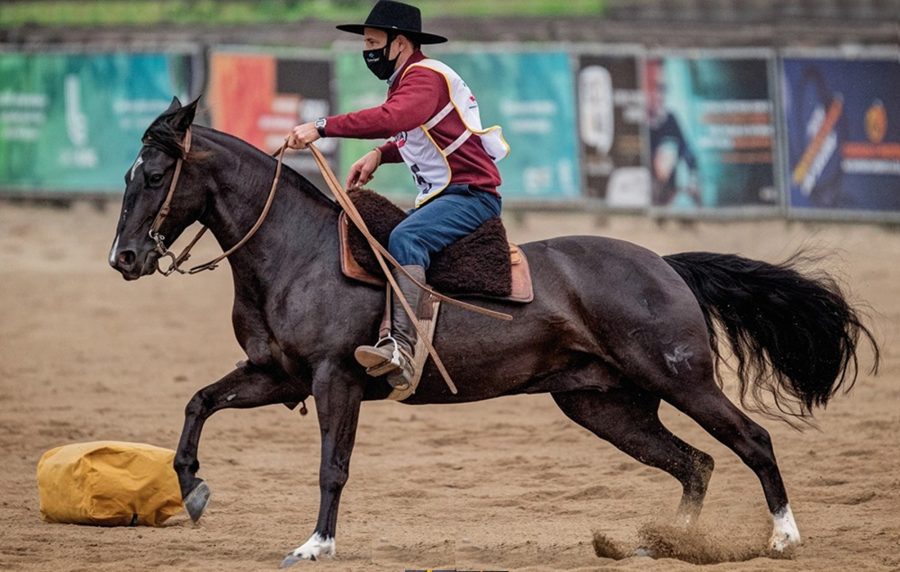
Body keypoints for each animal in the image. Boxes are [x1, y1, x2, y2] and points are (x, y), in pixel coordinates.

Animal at [109, 99, 876, 568]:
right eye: (128, 174)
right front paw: (192, 488)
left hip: (680, 378)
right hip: (604, 404)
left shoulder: (336, 379)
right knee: (696, 464)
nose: (125, 258)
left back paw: (783, 537)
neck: (299, 252)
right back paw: (665, 544)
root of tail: (666, 264)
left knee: (751, 441)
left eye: (154, 174)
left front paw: (316, 544)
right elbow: (199, 404)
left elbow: (332, 466)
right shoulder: (277, 376)